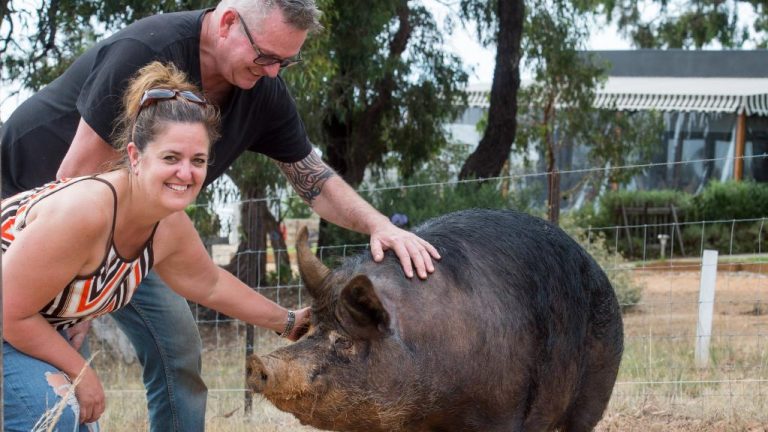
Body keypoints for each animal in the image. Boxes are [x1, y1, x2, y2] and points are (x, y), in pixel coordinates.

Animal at [249, 208, 628, 430]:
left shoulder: (503, 411)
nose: (257, 362)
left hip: (598, 382)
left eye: (344, 340)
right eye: (311, 328)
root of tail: (598, 270)